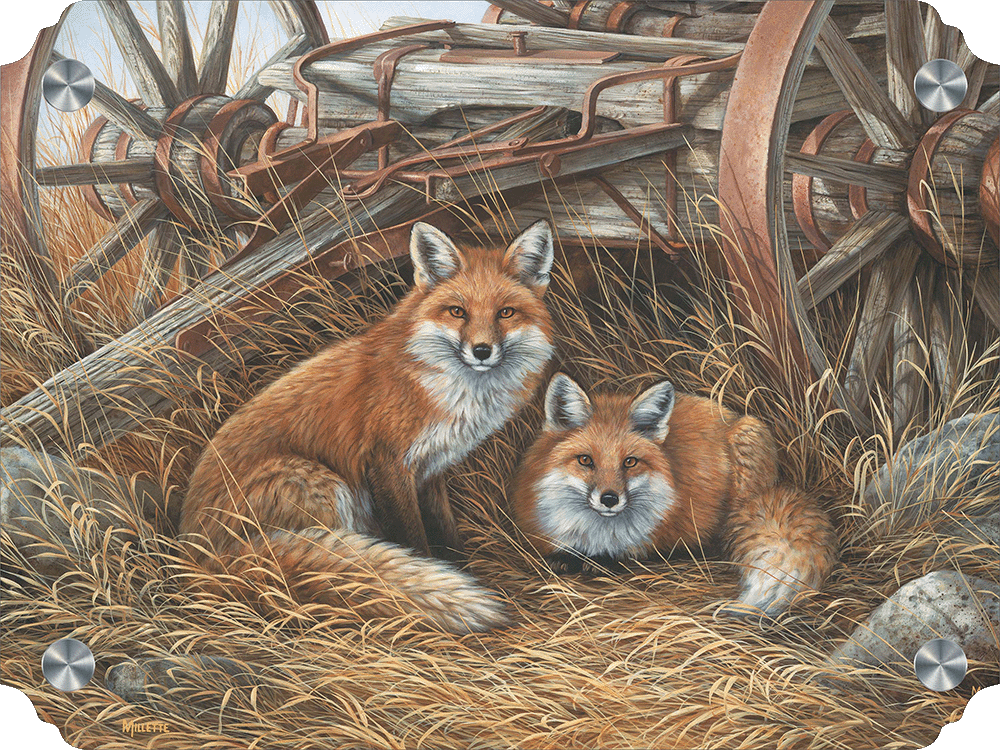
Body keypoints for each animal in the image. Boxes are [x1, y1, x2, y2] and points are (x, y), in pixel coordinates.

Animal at [179, 220, 556, 634]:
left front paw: (463, 569)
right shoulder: (387, 463)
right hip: (322, 485)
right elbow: (414, 538)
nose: (482, 351)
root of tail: (198, 557)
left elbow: (446, 529)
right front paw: (429, 575)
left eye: (506, 313)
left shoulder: (431, 468)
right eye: (458, 311)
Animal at [510, 373, 838, 618]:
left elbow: (629, 553)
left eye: (629, 462)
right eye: (585, 461)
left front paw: (602, 561)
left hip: (747, 445)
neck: (595, 533)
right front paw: (564, 558)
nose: (609, 499)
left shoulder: (653, 537)